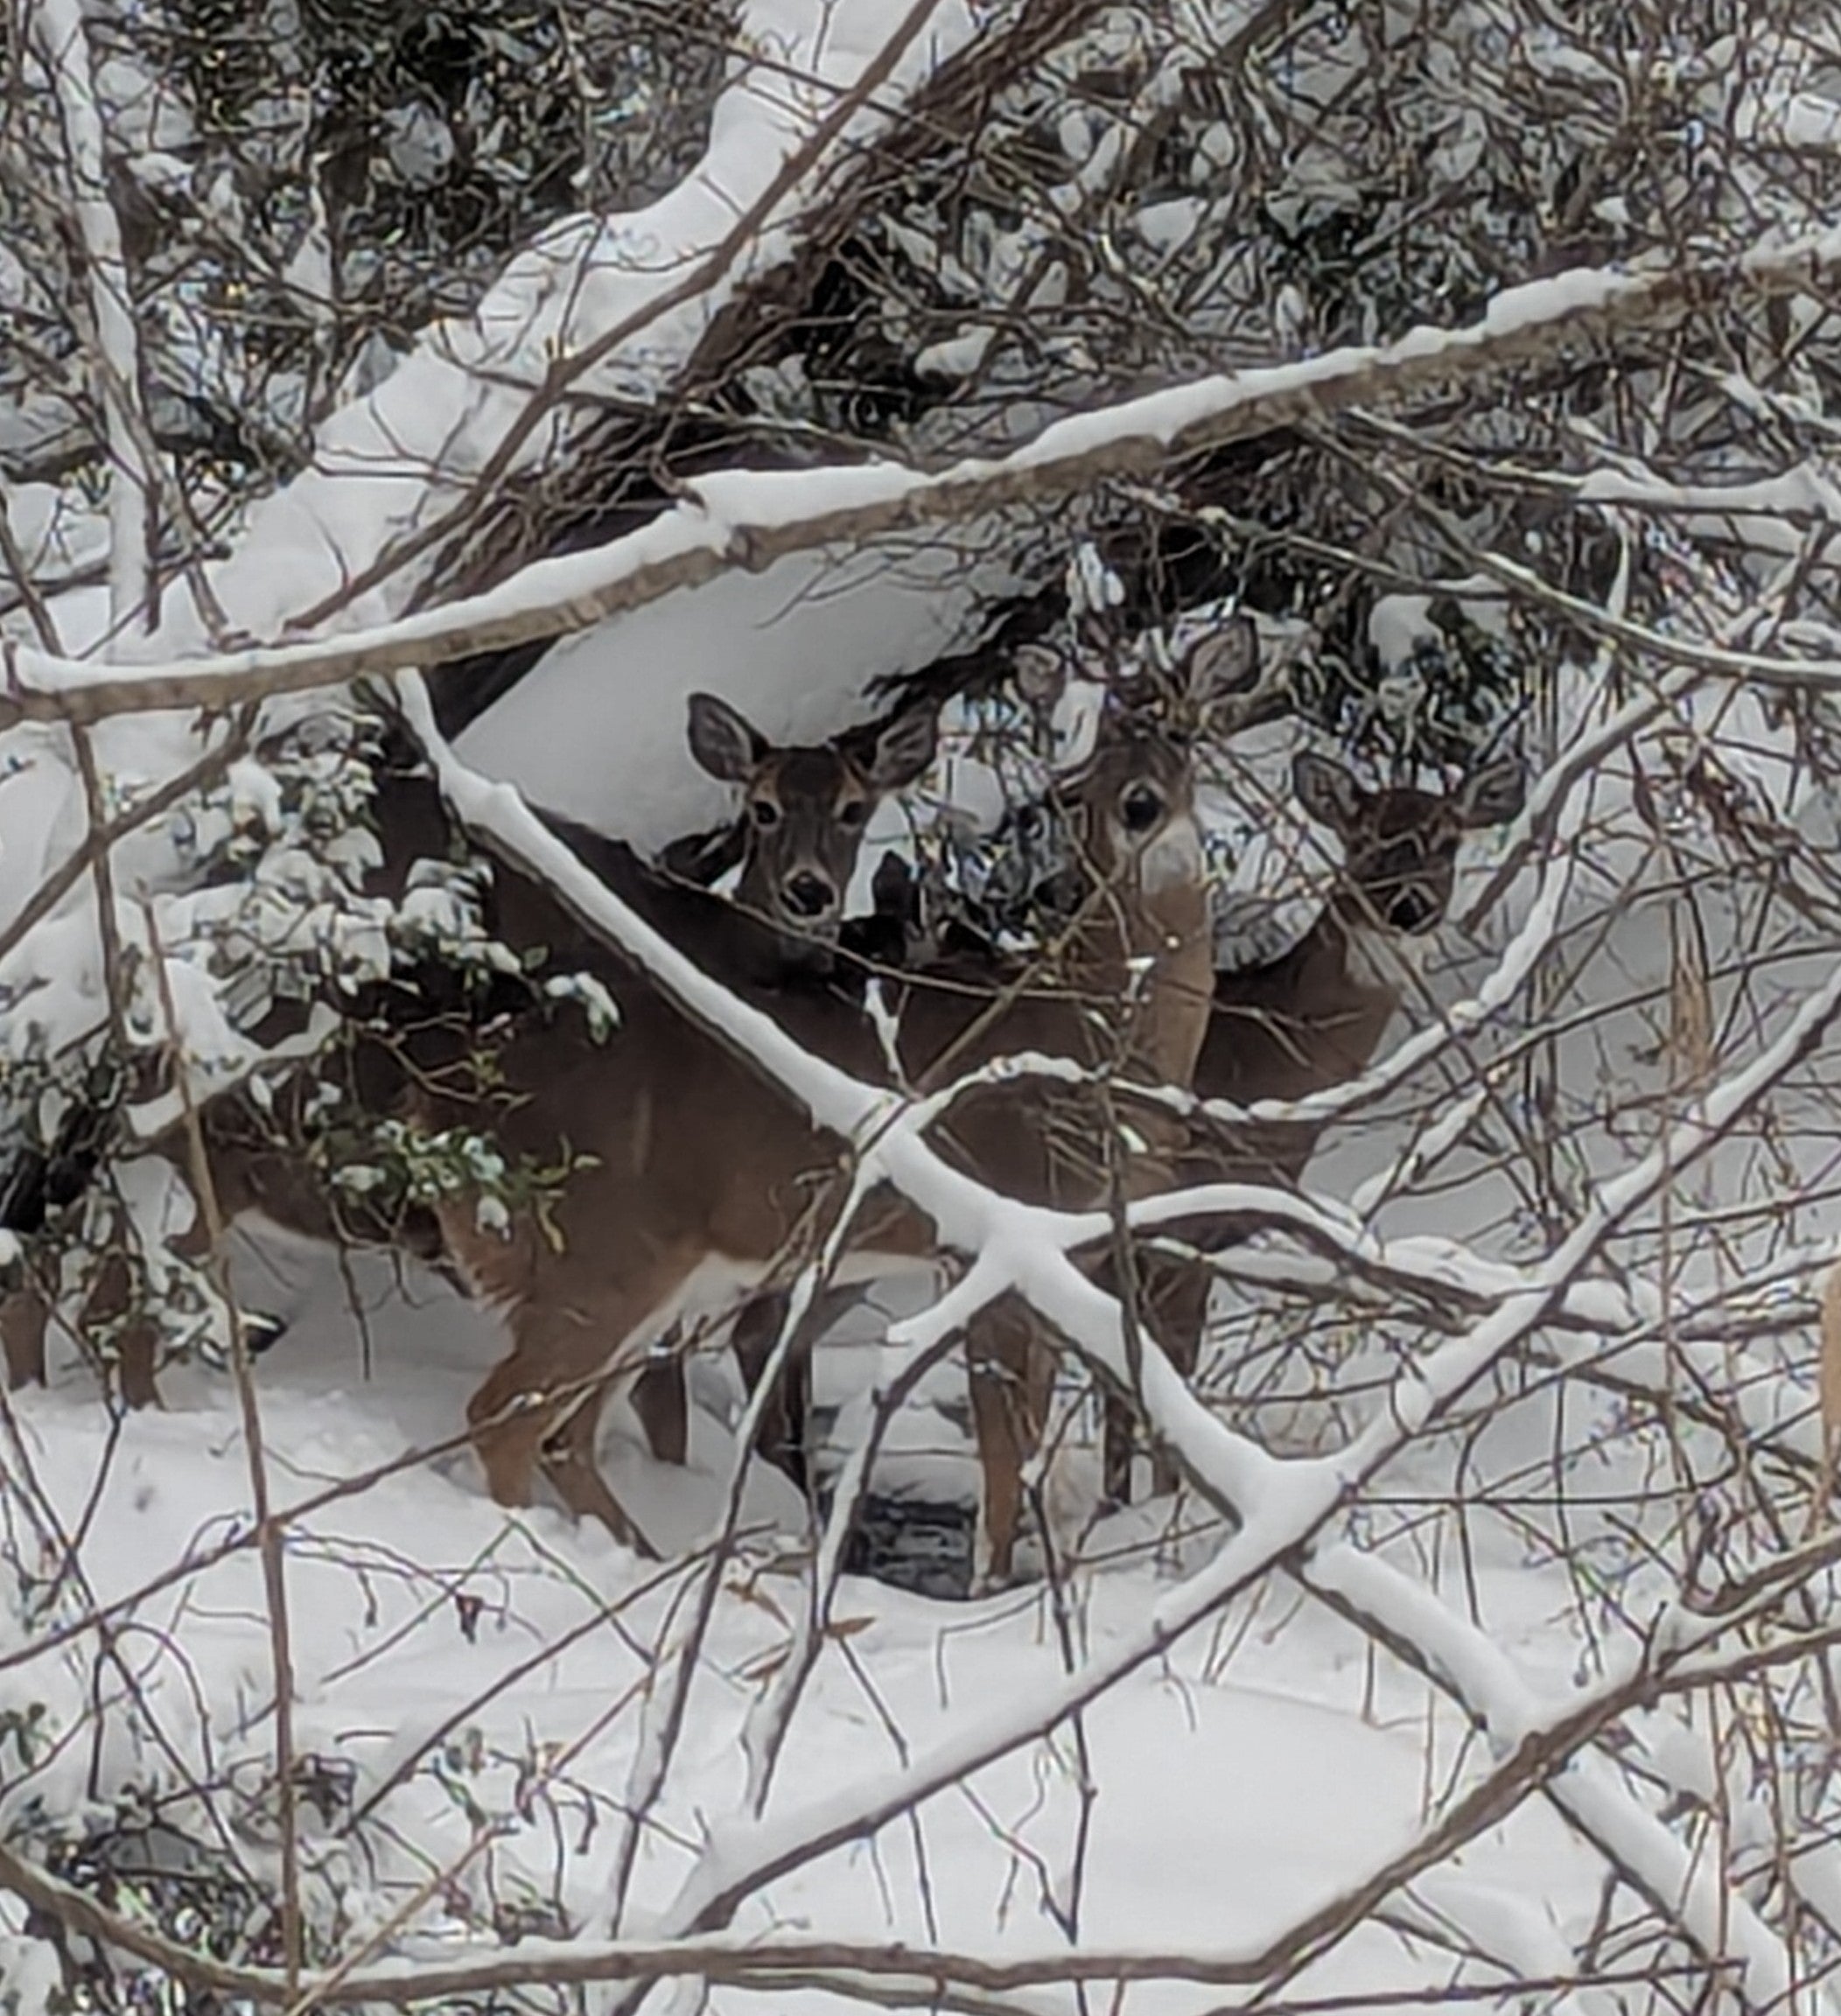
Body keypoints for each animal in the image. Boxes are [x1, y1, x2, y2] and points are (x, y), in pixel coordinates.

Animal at [1098, 744, 1527, 1506]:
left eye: (1447, 839)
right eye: (1363, 837)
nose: (1409, 906)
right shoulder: (1171, 1222)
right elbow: (1151, 1368)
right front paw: (1155, 1507)